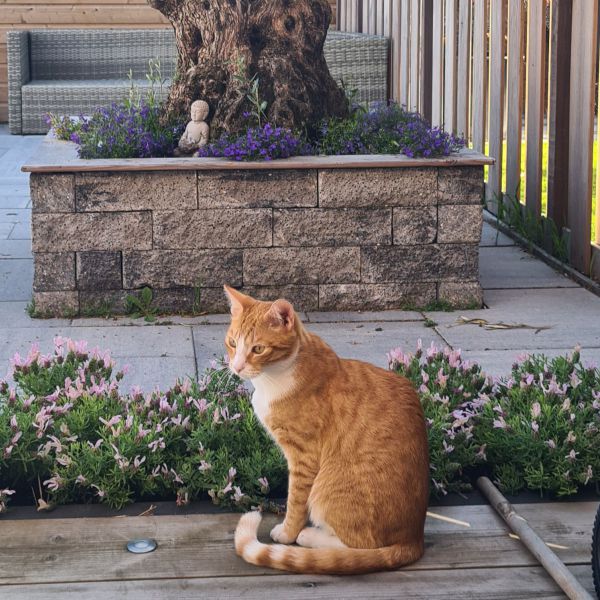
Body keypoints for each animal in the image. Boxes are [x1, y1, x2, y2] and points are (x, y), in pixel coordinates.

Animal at [223, 286, 428, 576]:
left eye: (258, 349)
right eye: (232, 343)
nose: (237, 367)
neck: (273, 379)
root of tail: (414, 537)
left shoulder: (304, 457)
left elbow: (296, 501)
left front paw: (287, 532)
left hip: (327, 487)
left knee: (361, 546)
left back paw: (310, 536)